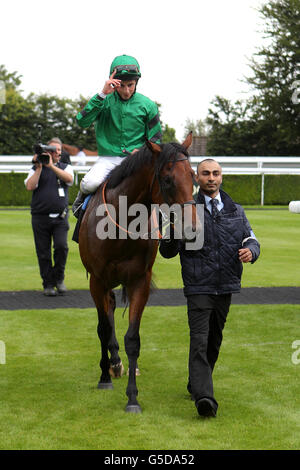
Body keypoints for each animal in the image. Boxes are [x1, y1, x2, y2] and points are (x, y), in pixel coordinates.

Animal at [78, 131, 198, 412]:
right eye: (167, 179)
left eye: (193, 176)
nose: (192, 228)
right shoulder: (97, 280)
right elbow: (103, 329)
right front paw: (104, 377)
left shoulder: (139, 281)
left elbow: (133, 338)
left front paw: (132, 398)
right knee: (106, 317)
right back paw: (111, 365)